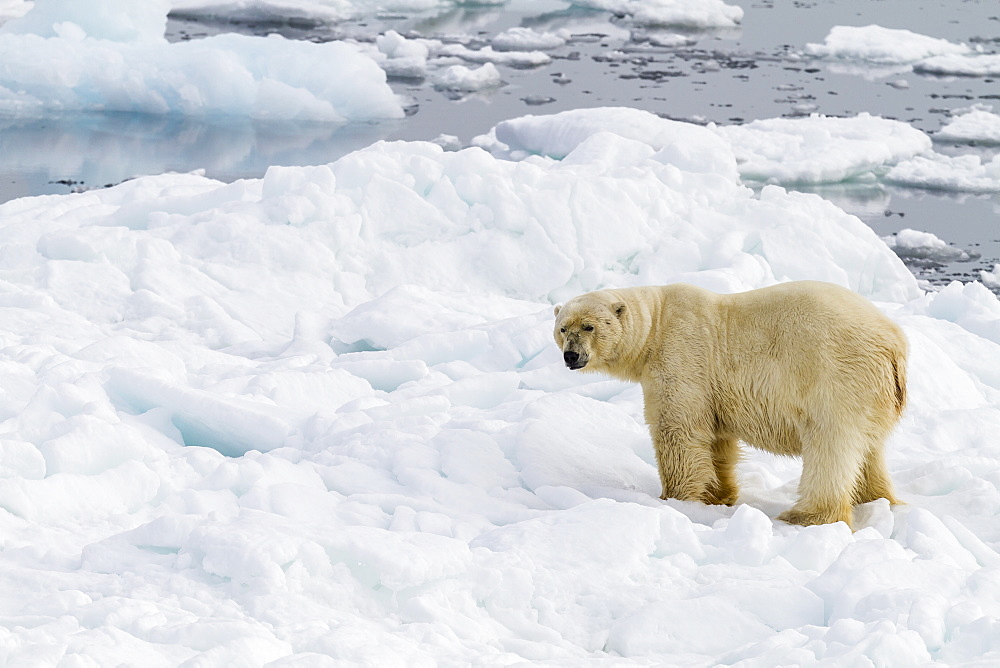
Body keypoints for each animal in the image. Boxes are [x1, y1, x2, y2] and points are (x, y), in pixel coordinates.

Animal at [556, 280, 908, 528]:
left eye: (589, 326)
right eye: (562, 328)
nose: (571, 355)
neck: (656, 322)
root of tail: (893, 342)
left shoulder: (682, 356)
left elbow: (678, 429)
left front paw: (674, 499)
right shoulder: (714, 386)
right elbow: (716, 439)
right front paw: (717, 495)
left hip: (835, 377)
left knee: (830, 446)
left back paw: (808, 515)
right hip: (874, 393)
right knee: (868, 449)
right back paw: (878, 500)